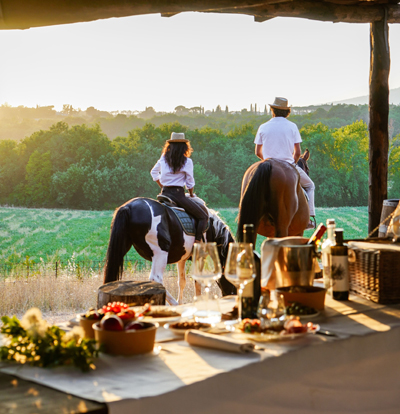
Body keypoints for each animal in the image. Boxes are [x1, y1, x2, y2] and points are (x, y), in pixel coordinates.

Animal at [103, 196, 234, 306]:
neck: (211, 227)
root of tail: (129, 207)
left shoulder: (182, 259)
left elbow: (182, 281)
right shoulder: (199, 257)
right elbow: (197, 281)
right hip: (161, 253)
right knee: (155, 279)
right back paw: (173, 305)